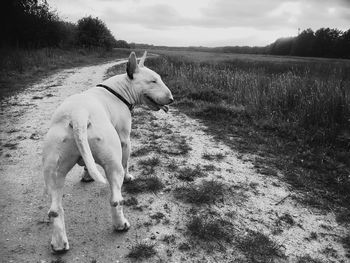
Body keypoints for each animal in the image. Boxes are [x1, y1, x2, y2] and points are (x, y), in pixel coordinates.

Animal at [42, 52, 174, 254]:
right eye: (153, 81)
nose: (172, 99)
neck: (119, 90)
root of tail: (78, 115)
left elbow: (87, 165)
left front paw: (87, 176)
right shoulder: (125, 139)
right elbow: (127, 161)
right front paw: (129, 177)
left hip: (54, 168)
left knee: (55, 210)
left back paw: (59, 244)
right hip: (112, 163)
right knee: (115, 198)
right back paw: (121, 224)